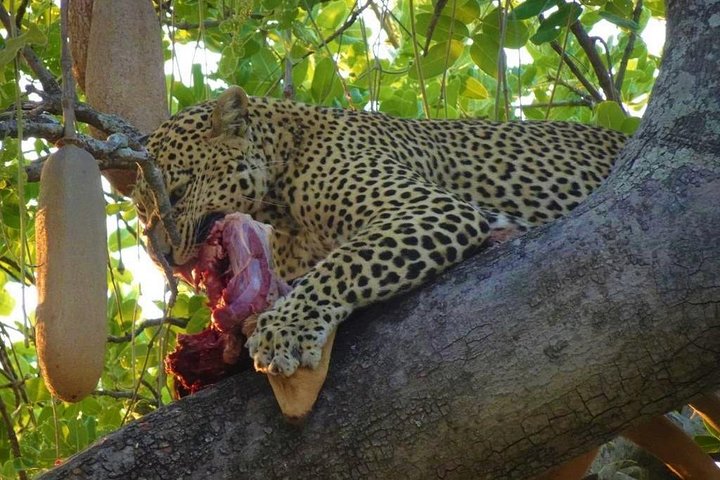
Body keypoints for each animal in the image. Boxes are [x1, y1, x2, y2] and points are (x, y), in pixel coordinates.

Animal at [132, 85, 628, 378]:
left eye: (177, 192)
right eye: (141, 214)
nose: (162, 258)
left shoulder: (430, 208)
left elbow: (340, 265)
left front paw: (285, 329)